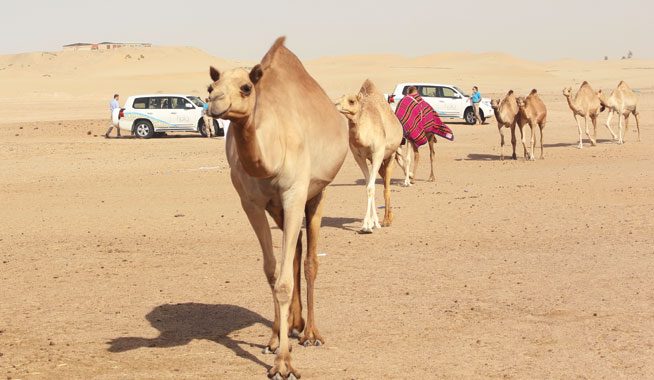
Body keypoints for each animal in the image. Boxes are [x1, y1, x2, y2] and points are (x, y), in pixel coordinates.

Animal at [206, 36, 348, 380]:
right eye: (210, 86)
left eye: (245, 87)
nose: (214, 102)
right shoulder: (252, 203)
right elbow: (272, 272)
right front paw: (274, 342)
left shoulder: (295, 192)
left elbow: (285, 280)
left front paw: (284, 363)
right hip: (277, 208)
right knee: (295, 251)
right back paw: (290, 326)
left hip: (317, 193)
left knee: (309, 260)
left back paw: (310, 333)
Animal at [338, 79, 404, 233]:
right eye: (339, 98)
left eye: (351, 101)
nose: (336, 104)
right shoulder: (359, 157)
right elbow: (369, 186)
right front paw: (371, 223)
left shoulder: (377, 153)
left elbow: (371, 187)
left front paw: (368, 226)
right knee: (381, 181)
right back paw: (386, 217)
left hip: (390, 155)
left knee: (386, 187)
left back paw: (386, 220)